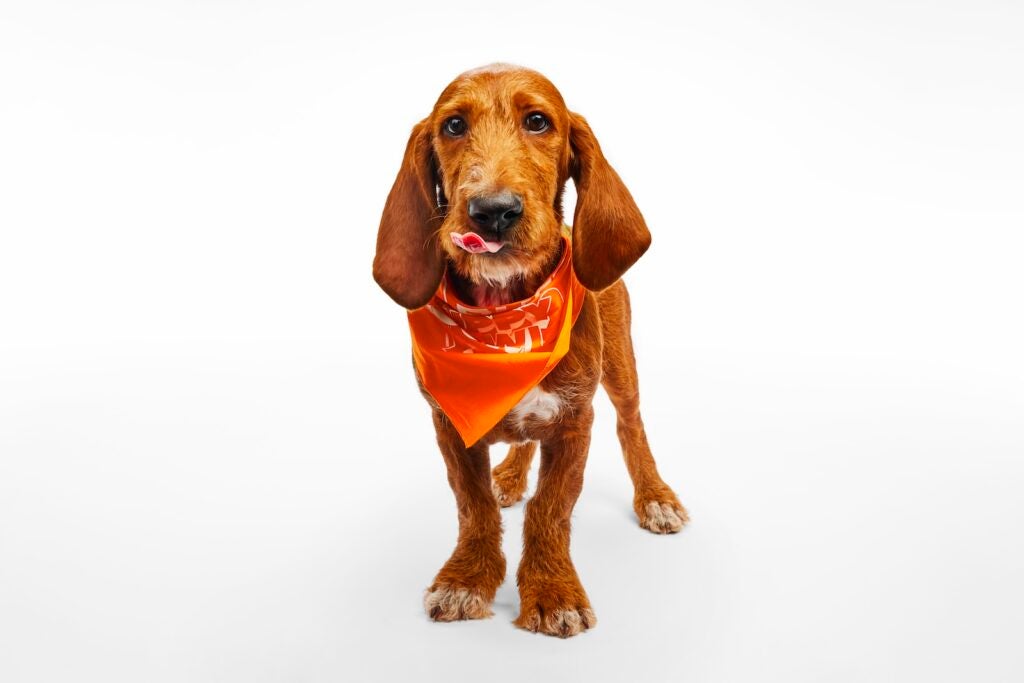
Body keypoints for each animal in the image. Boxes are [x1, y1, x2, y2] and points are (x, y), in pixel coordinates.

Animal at [372, 63, 684, 643]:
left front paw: (552, 589)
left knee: (631, 424)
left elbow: (551, 508)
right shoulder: (449, 426)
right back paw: (512, 475)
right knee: (524, 444)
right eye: (453, 126)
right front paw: (467, 579)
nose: (493, 212)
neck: (506, 319)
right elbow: (472, 505)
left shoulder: (575, 420)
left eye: (538, 121)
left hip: (620, 366)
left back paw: (655, 496)